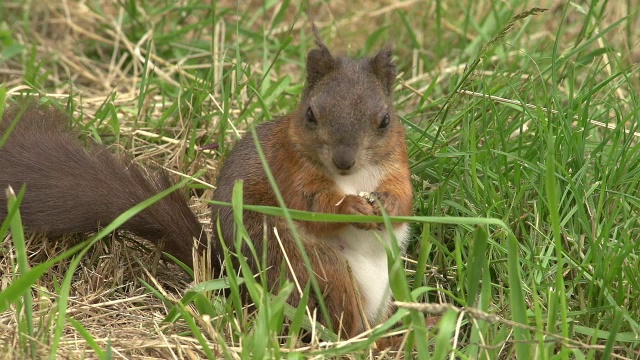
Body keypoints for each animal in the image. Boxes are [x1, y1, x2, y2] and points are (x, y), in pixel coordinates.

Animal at [0, 38, 410, 338]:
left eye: (385, 120)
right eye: (310, 115)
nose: (344, 161)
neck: (352, 179)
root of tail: (239, 290)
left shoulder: (396, 163)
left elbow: (406, 195)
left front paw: (388, 205)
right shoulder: (289, 172)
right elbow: (311, 206)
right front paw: (350, 208)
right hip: (312, 268)